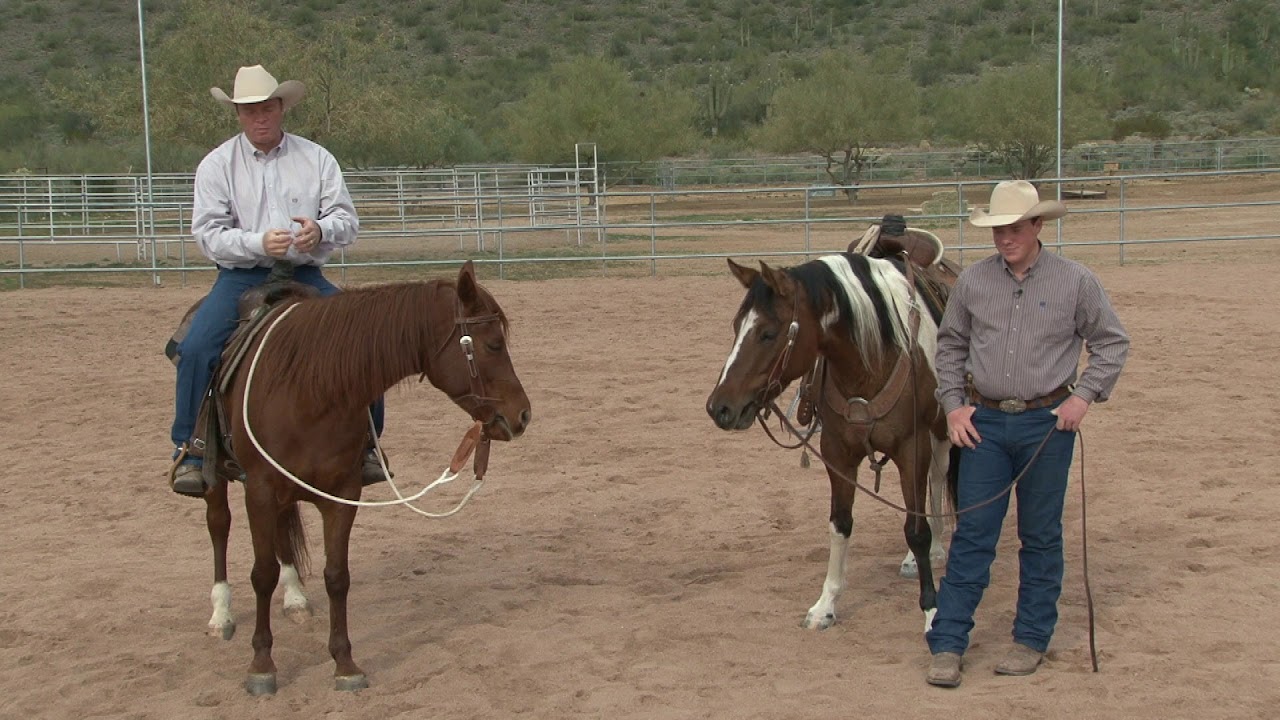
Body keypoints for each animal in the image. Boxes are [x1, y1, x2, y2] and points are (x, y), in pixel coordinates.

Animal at [185, 260, 531, 695]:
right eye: (494, 345)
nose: (523, 415)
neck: (309, 388)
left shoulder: (342, 493)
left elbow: (337, 576)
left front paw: (345, 663)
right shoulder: (261, 488)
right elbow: (261, 575)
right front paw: (261, 665)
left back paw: (295, 598)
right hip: (218, 478)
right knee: (219, 526)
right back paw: (221, 615)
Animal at [705, 251, 956, 633]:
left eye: (768, 333)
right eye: (736, 327)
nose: (719, 407)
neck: (872, 360)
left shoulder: (912, 448)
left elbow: (916, 530)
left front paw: (931, 613)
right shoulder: (837, 453)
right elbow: (840, 524)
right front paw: (826, 605)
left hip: (940, 431)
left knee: (938, 479)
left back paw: (938, 549)